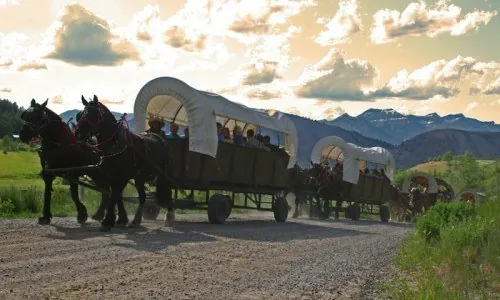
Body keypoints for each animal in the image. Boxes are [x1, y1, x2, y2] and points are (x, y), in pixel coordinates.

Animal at [75, 95, 175, 231]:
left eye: (95, 115)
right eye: (80, 115)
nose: (78, 134)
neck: (115, 143)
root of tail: (159, 139)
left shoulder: (123, 176)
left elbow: (115, 194)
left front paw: (108, 221)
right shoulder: (111, 175)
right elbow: (116, 195)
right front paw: (121, 218)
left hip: (163, 175)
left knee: (167, 192)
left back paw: (169, 216)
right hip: (140, 177)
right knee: (142, 196)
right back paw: (136, 220)